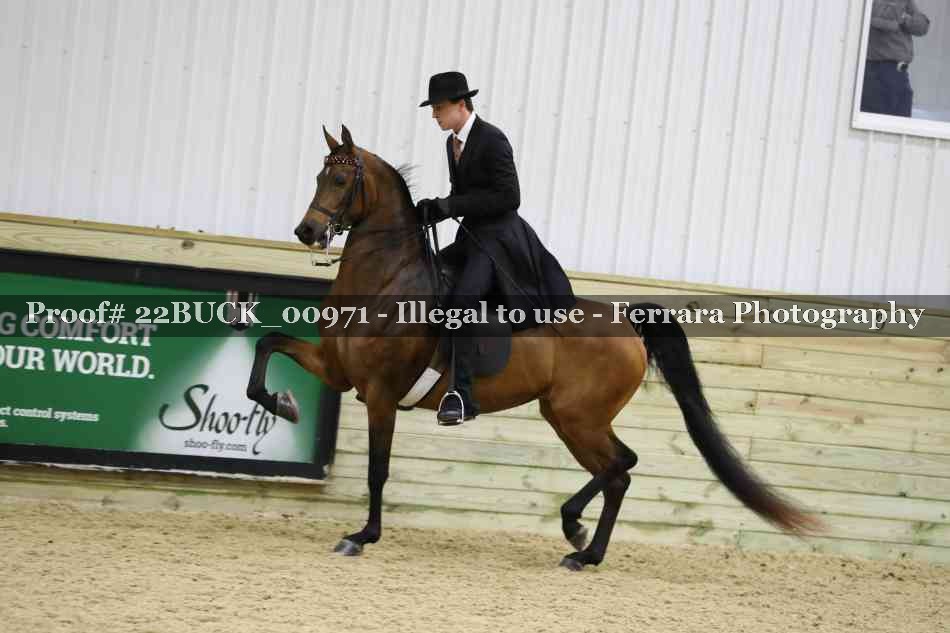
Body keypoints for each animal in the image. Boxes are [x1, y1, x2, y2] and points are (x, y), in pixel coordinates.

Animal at [245, 125, 819, 570]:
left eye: (341, 180)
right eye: (319, 177)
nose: (307, 230)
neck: (384, 280)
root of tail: (626, 322)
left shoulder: (382, 394)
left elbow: (376, 469)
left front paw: (362, 536)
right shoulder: (338, 371)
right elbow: (267, 347)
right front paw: (285, 404)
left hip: (575, 415)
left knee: (619, 466)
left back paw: (575, 532)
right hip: (569, 416)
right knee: (620, 471)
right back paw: (585, 551)